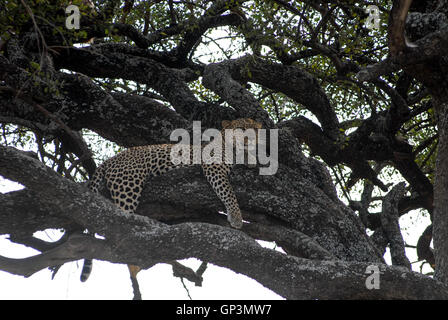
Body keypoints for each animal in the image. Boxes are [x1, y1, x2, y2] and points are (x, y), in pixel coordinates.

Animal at [80, 117, 262, 288]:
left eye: (253, 130)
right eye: (241, 128)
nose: (249, 140)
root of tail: (109, 160)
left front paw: (252, 158)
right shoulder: (214, 167)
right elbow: (228, 192)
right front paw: (236, 217)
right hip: (128, 187)